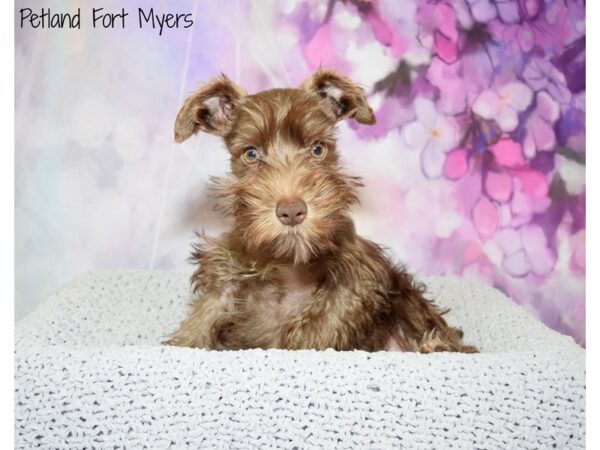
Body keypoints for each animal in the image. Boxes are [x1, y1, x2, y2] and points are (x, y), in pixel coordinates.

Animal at [166, 68, 476, 354]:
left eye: (317, 149)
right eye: (251, 154)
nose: (292, 211)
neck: (287, 260)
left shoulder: (357, 276)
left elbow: (321, 323)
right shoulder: (226, 276)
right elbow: (202, 320)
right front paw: (183, 341)